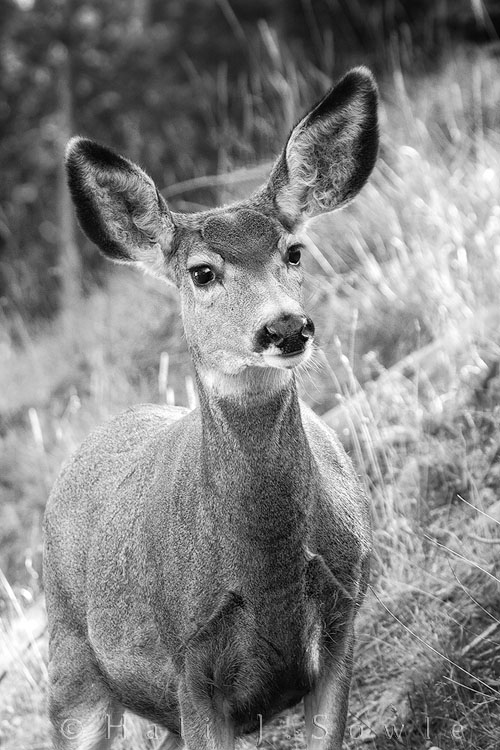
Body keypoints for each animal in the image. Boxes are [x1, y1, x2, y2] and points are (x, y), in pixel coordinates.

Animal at [43, 67, 378, 750]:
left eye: (294, 251)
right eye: (202, 272)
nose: (286, 327)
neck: (266, 574)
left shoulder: (344, 617)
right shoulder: (190, 661)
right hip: (70, 666)